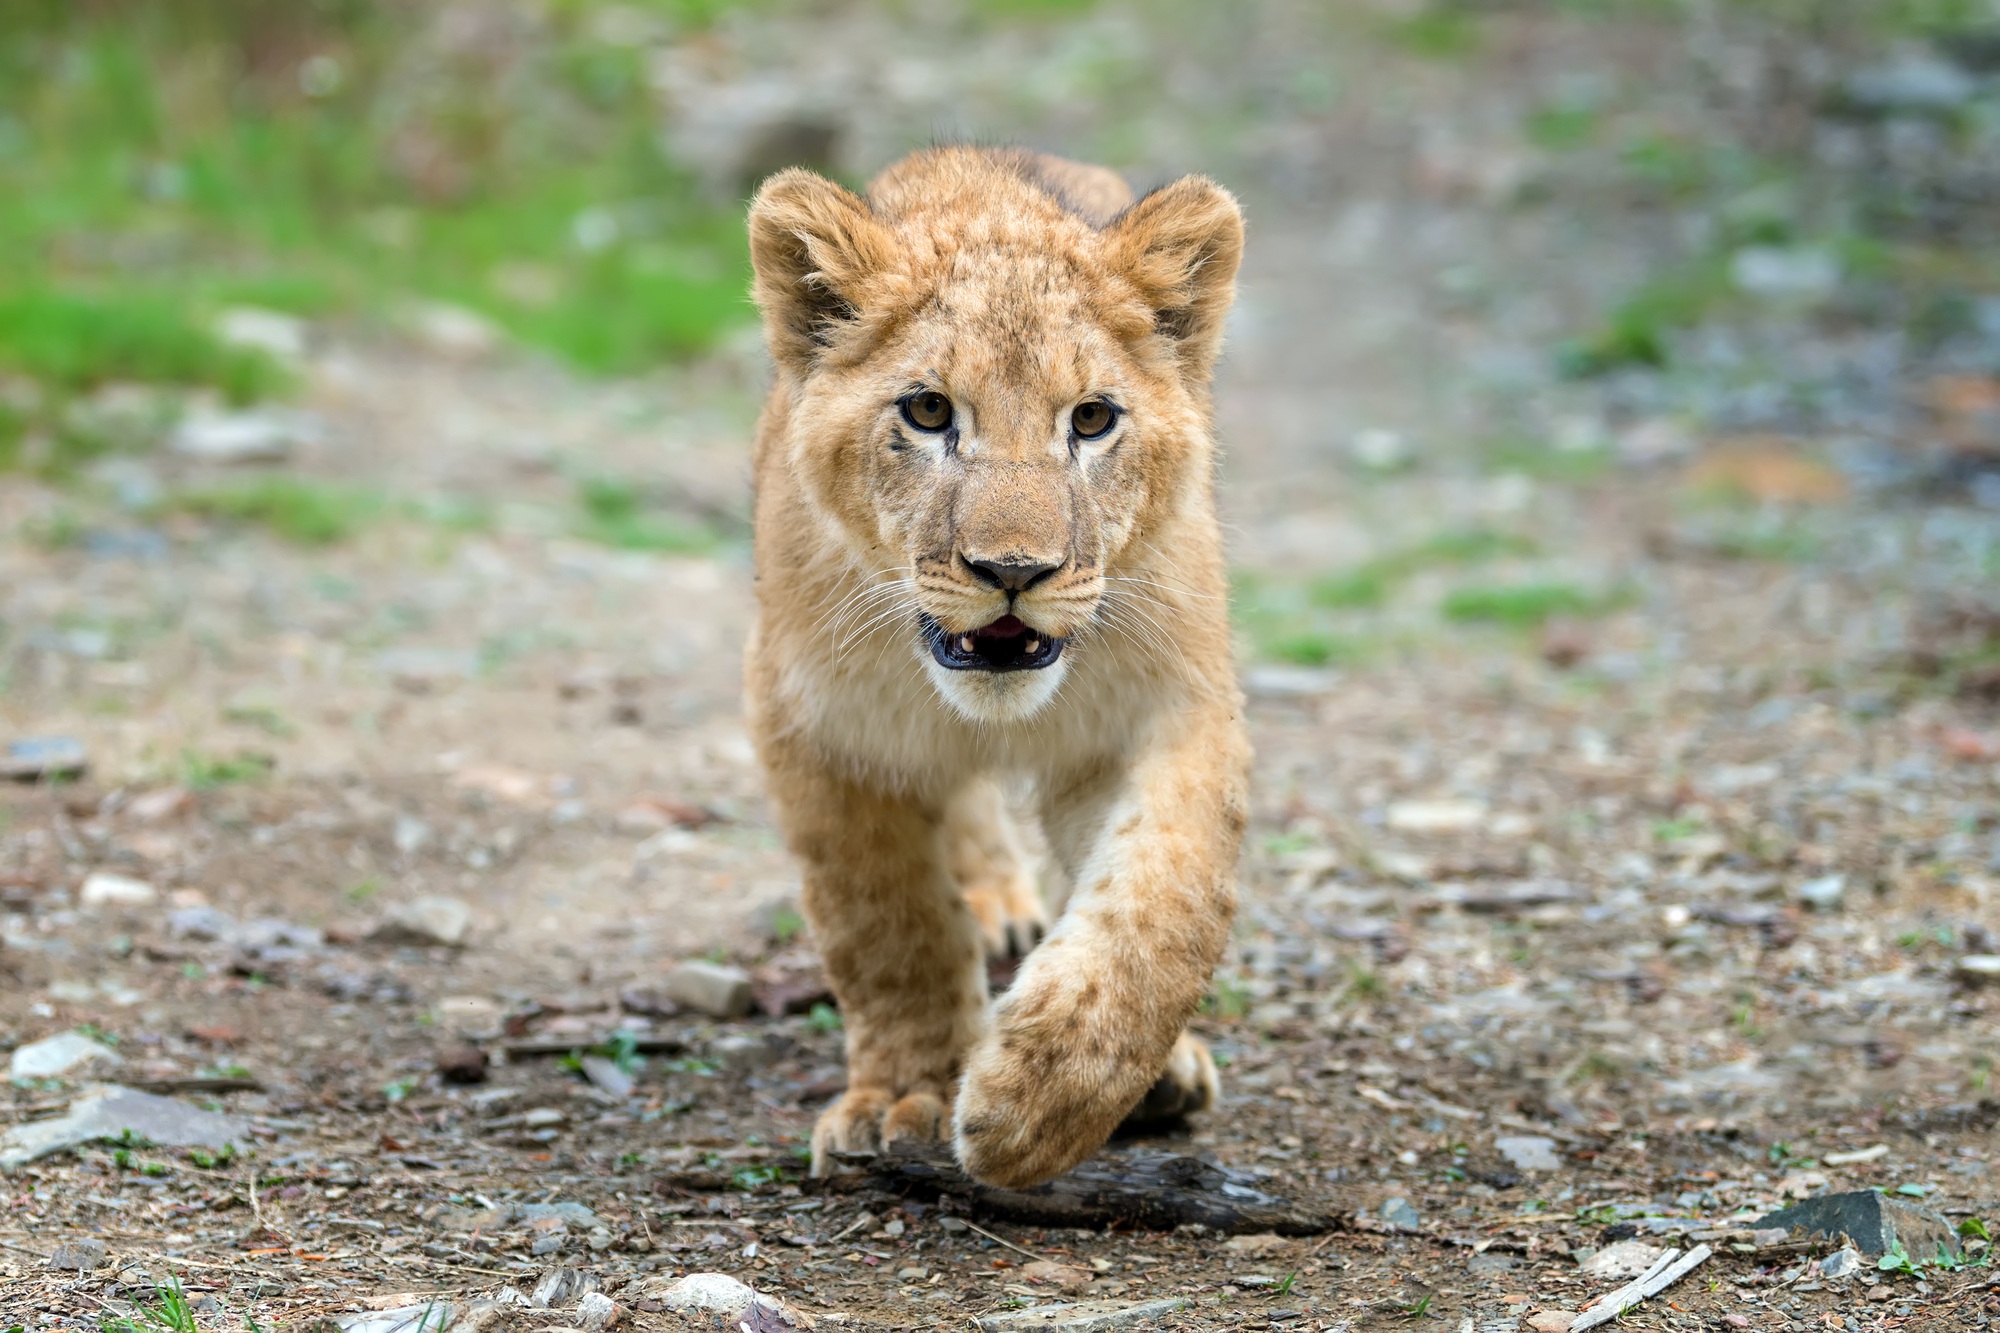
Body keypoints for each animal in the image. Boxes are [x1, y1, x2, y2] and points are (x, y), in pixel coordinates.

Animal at [743, 145, 1250, 1188]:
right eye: (929, 410)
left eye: (1092, 419)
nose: (1013, 572)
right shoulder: (816, 726)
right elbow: (886, 925)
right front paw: (908, 1097)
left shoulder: (1166, 709)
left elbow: (1162, 905)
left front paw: (1042, 1100)